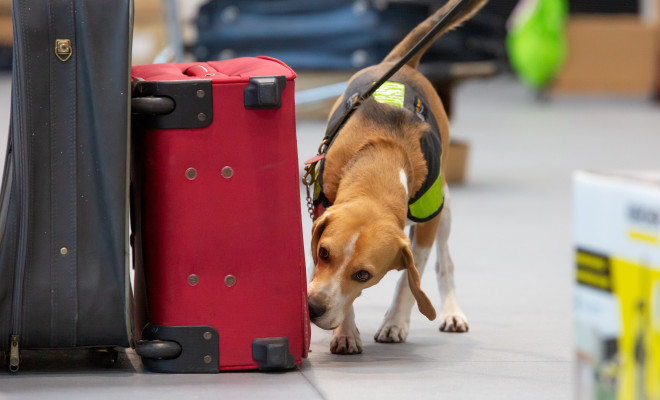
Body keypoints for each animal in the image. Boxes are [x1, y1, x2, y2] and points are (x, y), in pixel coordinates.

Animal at [306, 0, 488, 354]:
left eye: (363, 275)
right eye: (324, 253)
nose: (313, 308)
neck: (381, 158)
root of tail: (397, 65)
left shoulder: (427, 227)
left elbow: (409, 279)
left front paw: (394, 323)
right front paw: (345, 332)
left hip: (445, 209)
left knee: (445, 263)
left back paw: (451, 312)